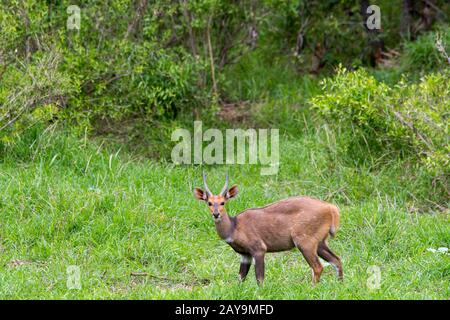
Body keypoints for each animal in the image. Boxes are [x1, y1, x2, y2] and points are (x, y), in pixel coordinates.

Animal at [192, 172, 342, 284]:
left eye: (223, 202)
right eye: (209, 203)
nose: (216, 214)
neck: (234, 227)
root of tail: (331, 208)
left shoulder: (259, 249)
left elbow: (260, 278)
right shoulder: (245, 255)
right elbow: (240, 278)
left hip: (305, 242)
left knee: (318, 267)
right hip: (320, 242)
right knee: (337, 260)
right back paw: (339, 284)